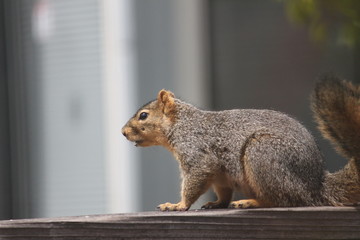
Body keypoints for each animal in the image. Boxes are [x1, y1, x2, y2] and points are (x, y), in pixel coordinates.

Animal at [121, 74, 360, 211]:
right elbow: (223, 190)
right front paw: (217, 203)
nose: (123, 132)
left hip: (262, 156)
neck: (182, 124)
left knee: (286, 200)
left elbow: (195, 180)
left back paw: (252, 202)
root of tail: (315, 186)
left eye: (143, 116)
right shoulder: (220, 174)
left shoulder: (198, 154)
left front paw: (178, 205)